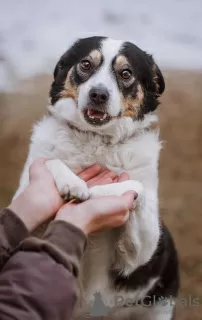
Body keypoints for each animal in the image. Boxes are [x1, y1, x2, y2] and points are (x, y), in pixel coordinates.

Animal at [13, 36, 178, 318]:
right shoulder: (30, 224)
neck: (96, 140)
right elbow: (52, 161)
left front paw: (98, 192)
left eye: (126, 73)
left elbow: (136, 187)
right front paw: (74, 183)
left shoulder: (140, 253)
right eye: (86, 65)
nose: (98, 94)